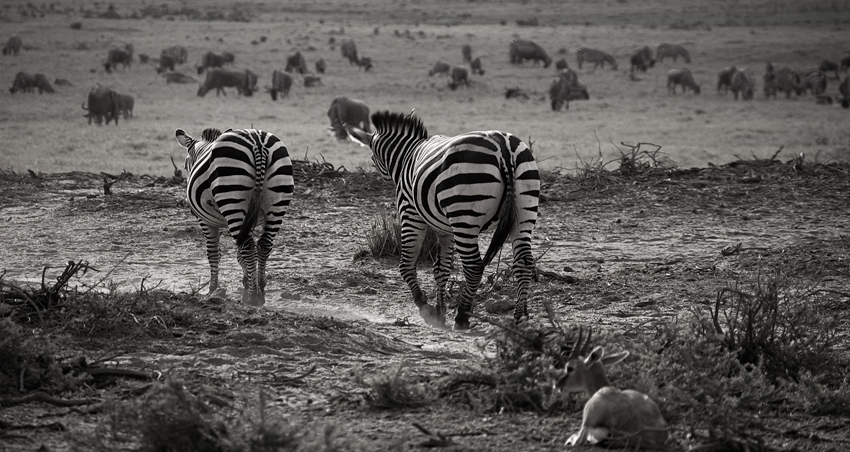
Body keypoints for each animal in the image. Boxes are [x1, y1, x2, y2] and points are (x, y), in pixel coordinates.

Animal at [174, 126, 294, 308]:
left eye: (186, 165)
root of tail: (258, 144)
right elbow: (238, 254)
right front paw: (246, 281)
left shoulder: (205, 221)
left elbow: (213, 253)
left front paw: (212, 289)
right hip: (278, 200)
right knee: (263, 244)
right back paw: (261, 289)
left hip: (231, 196)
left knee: (248, 246)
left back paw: (252, 297)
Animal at [342, 109, 536, 328]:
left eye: (373, 158)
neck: (407, 154)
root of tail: (503, 146)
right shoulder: (446, 229)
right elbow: (441, 268)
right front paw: (440, 311)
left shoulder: (410, 212)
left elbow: (406, 264)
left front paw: (425, 307)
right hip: (524, 209)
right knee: (524, 262)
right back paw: (520, 316)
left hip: (465, 215)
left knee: (473, 266)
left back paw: (462, 316)